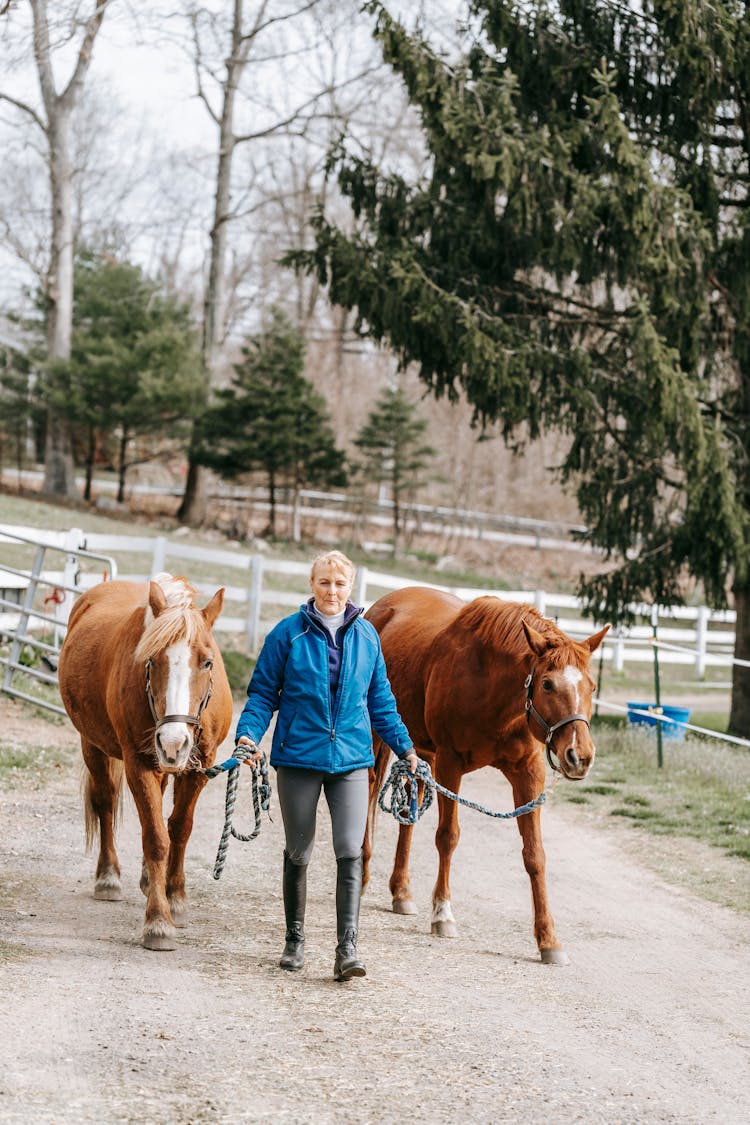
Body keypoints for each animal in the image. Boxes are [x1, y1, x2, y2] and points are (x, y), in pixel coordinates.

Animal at [57, 571, 231, 949]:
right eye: (151, 660)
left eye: (207, 662)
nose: (174, 741)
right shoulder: (138, 764)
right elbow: (155, 838)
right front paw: (158, 921)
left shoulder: (199, 768)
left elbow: (179, 829)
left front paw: (174, 895)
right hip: (93, 746)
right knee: (105, 803)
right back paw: (108, 878)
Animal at [364, 585, 611, 963]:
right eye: (547, 684)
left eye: (593, 687)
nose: (579, 756)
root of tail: (380, 607)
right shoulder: (450, 764)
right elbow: (448, 837)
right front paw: (443, 914)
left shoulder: (528, 775)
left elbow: (535, 855)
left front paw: (548, 939)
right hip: (383, 735)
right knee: (369, 790)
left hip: (419, 752)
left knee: (411, 806)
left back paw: (401, 891)